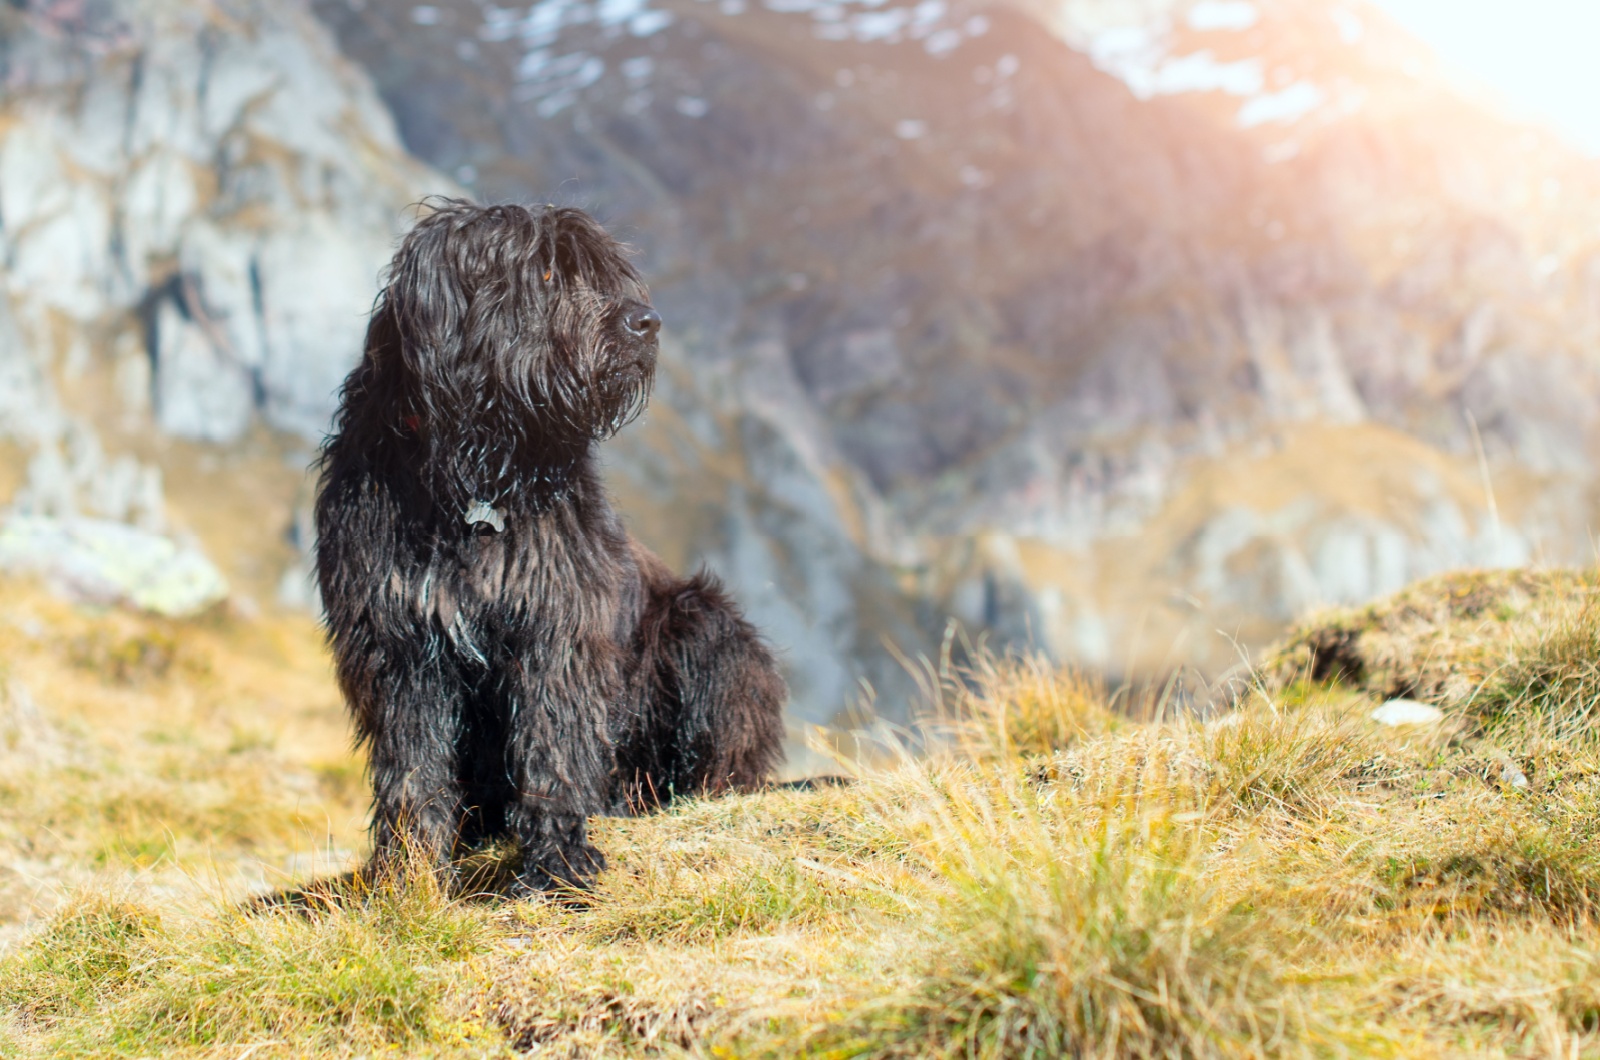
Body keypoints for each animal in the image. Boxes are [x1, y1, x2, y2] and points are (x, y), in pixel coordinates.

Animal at [313, 199, 787, 896]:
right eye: (542, 274)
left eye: (604, 272)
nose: (646, 323)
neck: (475, 477)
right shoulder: (399, 643)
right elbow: (412, 763)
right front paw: (409, 874)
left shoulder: (559, 621)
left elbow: (553, 740)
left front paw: (558, 860)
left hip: (704, 626)